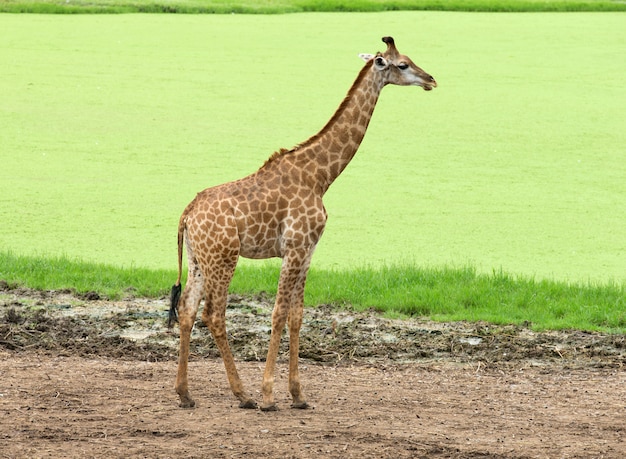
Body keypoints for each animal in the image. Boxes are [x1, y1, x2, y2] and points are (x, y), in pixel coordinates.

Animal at [167, 35, 434, 410]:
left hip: (197, 259)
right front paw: (268, 396)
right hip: (224, 257)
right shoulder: (294, 247)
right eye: (403, 64)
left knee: (188, 309)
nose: (431, 80)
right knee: (214, 314)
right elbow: (278, 313)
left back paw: (185, 394)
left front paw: (298, 395)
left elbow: (297, 316)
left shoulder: (308, 251)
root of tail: (186, 215)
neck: (320, 176)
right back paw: (243, 395)